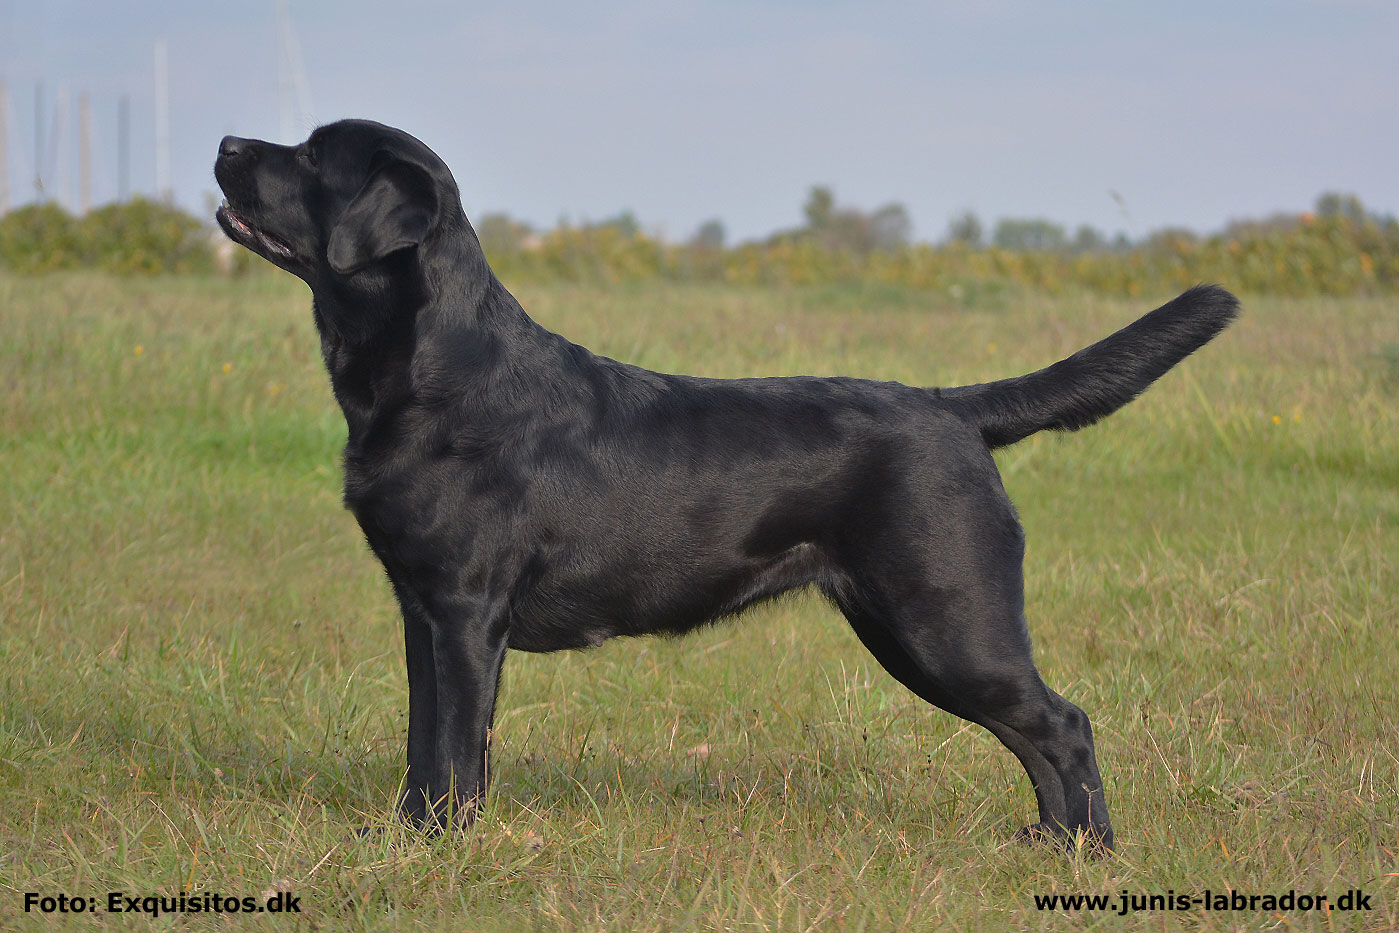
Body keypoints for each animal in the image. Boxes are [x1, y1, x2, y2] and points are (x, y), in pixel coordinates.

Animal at [209, 120, 1236, 850]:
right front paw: (405, 837)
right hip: (912, 625)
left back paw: (1087, 853)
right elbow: (428, 745)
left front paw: (440, 850)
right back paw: (1046, 841)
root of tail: (951, 408)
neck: (434, 372)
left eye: (312, 154)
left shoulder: (465, 609)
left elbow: (458, 749)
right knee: (1037, 731)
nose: (223, 145)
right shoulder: (422, 608)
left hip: (945, 618)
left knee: (1062, 721)